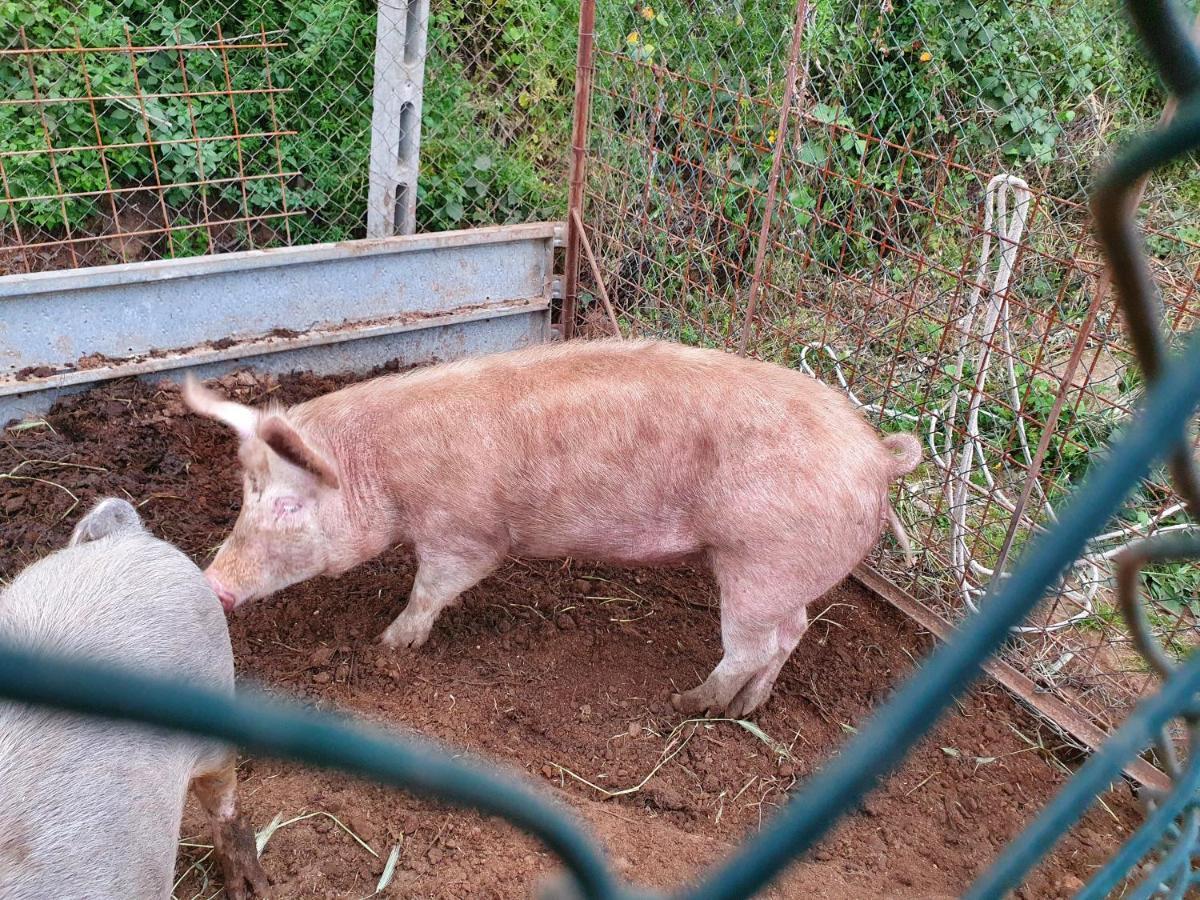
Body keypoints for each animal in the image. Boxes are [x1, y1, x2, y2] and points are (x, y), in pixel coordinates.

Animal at [184, 340, 916, 720]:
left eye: (287, 505)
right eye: (244, 495)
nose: (211, 584)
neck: (383, 470)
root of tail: (878, 457)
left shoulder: (467, 533)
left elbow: (432, 588)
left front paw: (388, 647)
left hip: (761, 562)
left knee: (752, 644)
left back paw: (688, 702)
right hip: (780, 574)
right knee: (791, 633)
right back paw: (746, 710)